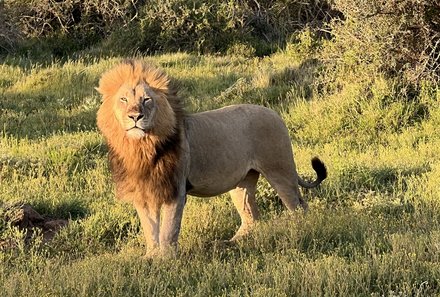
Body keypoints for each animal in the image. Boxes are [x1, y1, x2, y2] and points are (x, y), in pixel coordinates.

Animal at [98, 59, 328, 256]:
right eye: (123, 99)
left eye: (147, 100)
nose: (135, 116)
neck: (141, 147)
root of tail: (275, 114)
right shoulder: (144, 192)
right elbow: (150, 228)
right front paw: (151, 257)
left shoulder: (175, 189)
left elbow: (168, 229)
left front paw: (166, 259)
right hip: (242, 182)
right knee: (252, 216)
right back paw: (230, 243)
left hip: (280, 171)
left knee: (299, 206)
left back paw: (300, 231)